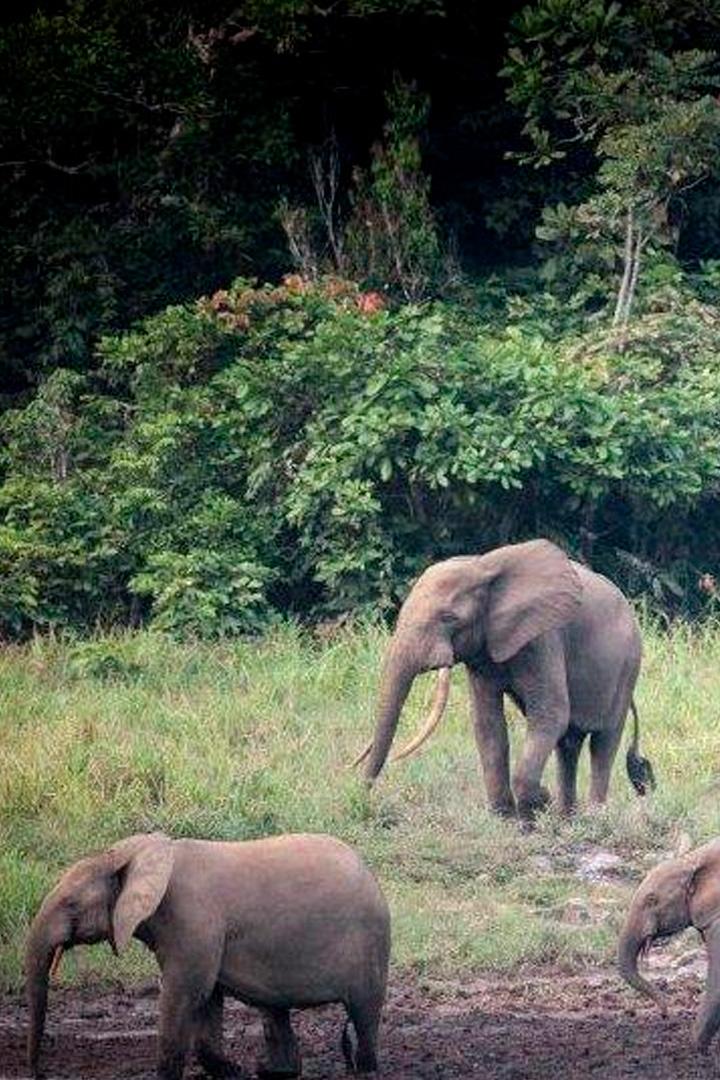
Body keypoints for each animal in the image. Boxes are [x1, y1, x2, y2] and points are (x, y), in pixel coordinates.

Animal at [25, 829, 390, 1075]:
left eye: (71, 905)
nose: (38, 1072)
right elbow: (208, 999)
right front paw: (234, 1071)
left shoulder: (194, 921)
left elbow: (186, 994)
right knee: (275, 1014)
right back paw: (275, 1071)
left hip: (370, 943)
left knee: (364, 1013)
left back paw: (364, 1068)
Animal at [351, 535, 656, 820]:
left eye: (449, 618)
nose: (361, 800)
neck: (481, 567)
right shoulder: (483, 651)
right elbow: (488, 723)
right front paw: (506, 817)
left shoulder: (543, 637)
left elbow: (550, 714)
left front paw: (538, 806)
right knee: (568, 744)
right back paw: (566, 819)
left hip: (628, 667)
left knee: (603, 742)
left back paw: (592, 817)